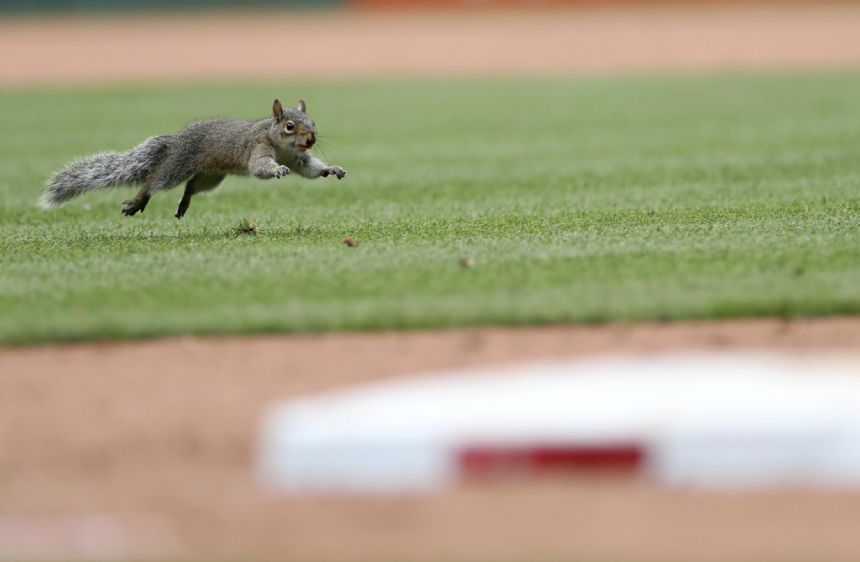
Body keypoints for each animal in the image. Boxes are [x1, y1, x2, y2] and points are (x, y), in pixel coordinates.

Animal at [39, 98, 350, 217]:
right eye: (289, 126)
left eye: (313, 122)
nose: (311, 139)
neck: (280, 143)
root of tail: (177, 141)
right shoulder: (257, 148)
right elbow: (259, 166)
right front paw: (276, 171)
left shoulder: (297, 158)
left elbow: (310, 168)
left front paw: (331, 169)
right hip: (177, 167)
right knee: (154, 181)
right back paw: (138, 201)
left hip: (211, 176)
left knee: (191, 186)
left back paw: (184, 205)